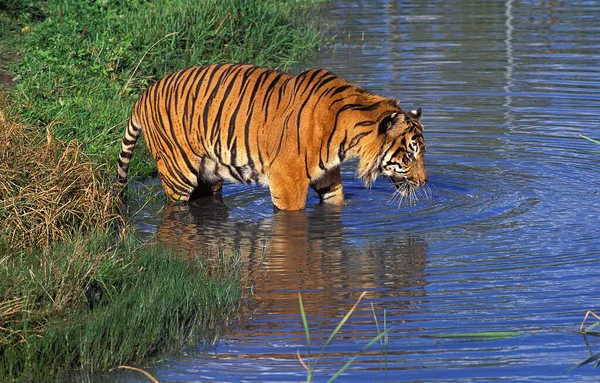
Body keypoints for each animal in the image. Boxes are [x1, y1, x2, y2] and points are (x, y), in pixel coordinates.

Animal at [117, 64, 426, 212]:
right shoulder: (287, 181)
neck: (349, 138)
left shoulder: (327, 178)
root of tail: (143, 95)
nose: (424, 182)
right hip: (177, 173)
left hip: (209, 176)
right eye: (410, 155)